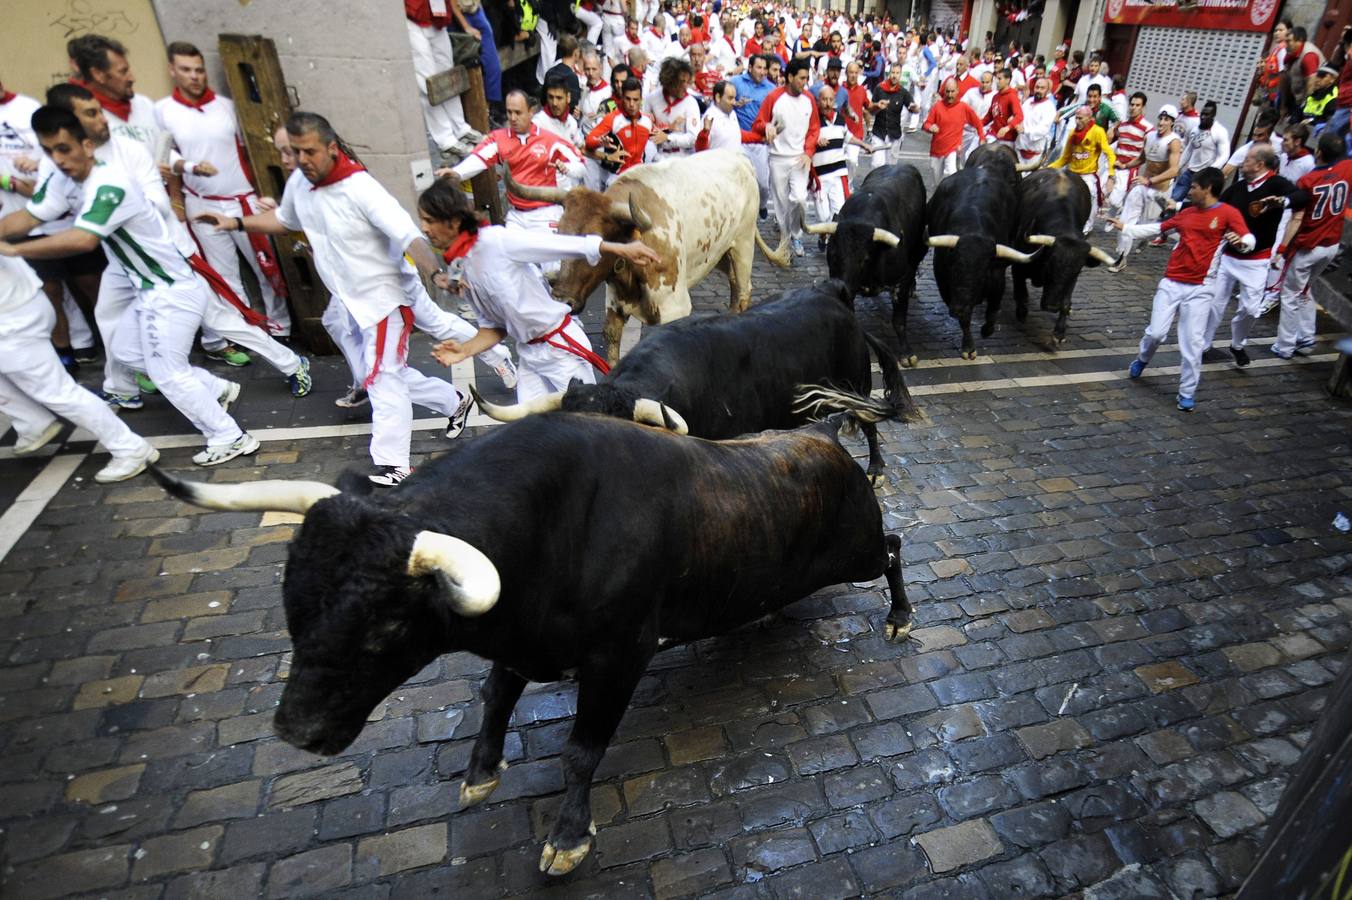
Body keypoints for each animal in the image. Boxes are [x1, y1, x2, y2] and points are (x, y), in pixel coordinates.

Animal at [150, 410, 919, 870]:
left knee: (893, 547)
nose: (297, 730)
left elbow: (581, 751)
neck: (553, 523)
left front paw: (567, 838)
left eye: (389, 623)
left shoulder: (620, 655)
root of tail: (828, 438)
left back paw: (900, 617)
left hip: (853, 551)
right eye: (293, 604)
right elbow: (495, 696)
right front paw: (480, 770)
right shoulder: (520, 640)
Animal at [505, 147, 784, 362]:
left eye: (597, 244)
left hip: (743, 244)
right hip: (721, 255)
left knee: (744, 291)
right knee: (735, 287)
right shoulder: (614, 301)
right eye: (560, 232)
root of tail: (738, 156)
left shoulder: (675, 306)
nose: (563, 299)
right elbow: (612, 341)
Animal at [1016, 166, 1119, 348]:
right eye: (1049, 265)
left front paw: (1059, 333)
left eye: (1077, 272)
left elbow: (1065, 302)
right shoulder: (1019, 264)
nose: (1051, 306)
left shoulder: (1072, 280)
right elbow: (1021, 290)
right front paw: (1021, 312)